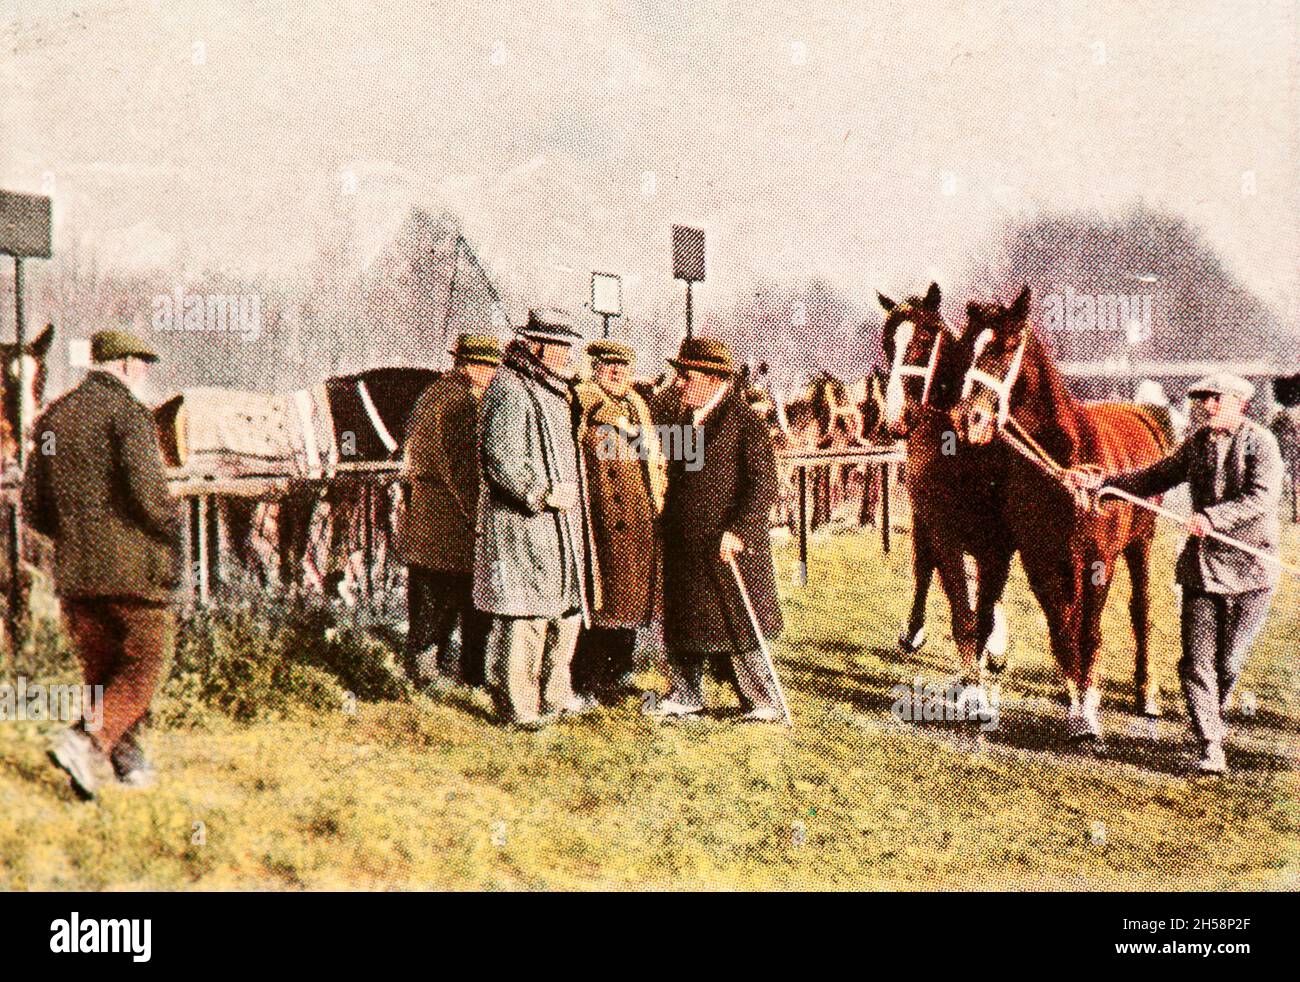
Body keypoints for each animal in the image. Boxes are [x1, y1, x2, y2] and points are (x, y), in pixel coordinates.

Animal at [873, 284, 1013, 681]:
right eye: (888, 343)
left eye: (924, 339)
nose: (894, 420)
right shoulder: (934, 516)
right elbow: (935, 569)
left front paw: (991, 645)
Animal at [951, 286, 1175, 738]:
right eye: (968, 347)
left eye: (1006, 346)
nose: (970, 419)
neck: (1065, 457)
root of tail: (1143, 413)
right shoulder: (1040, 559)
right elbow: (1061, 628)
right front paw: (1075, 702)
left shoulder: (1098, 560)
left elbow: (1089, 632)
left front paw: (1087, 713)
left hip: (1141, 543)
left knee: (1140, 610)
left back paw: (1146, 694)